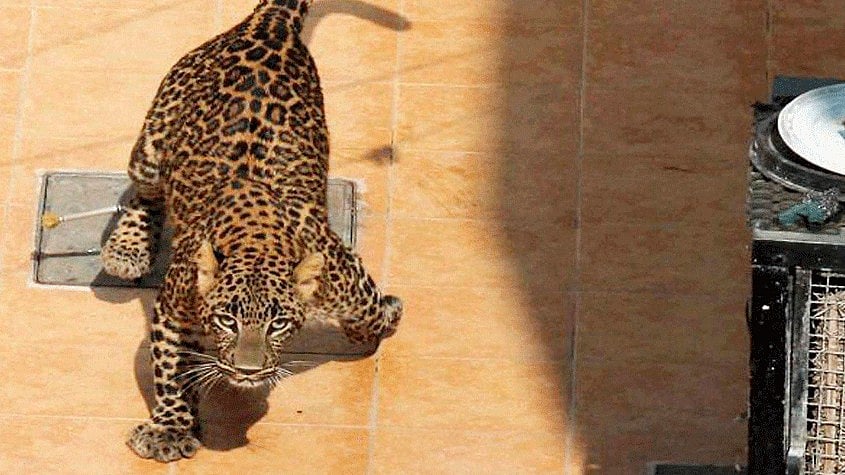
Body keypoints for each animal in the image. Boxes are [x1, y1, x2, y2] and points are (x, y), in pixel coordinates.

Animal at [99, 0, 401, 462]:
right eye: (227, 320)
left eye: (278, 324)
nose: (247, 370)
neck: (256, 236)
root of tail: (270, 22)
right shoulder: (173, 308)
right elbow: (171, 367)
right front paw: (170, 428)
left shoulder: (339, 271)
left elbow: (366, 305)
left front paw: (378, 321)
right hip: (152, 146)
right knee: (143, 191)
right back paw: (126, 249)